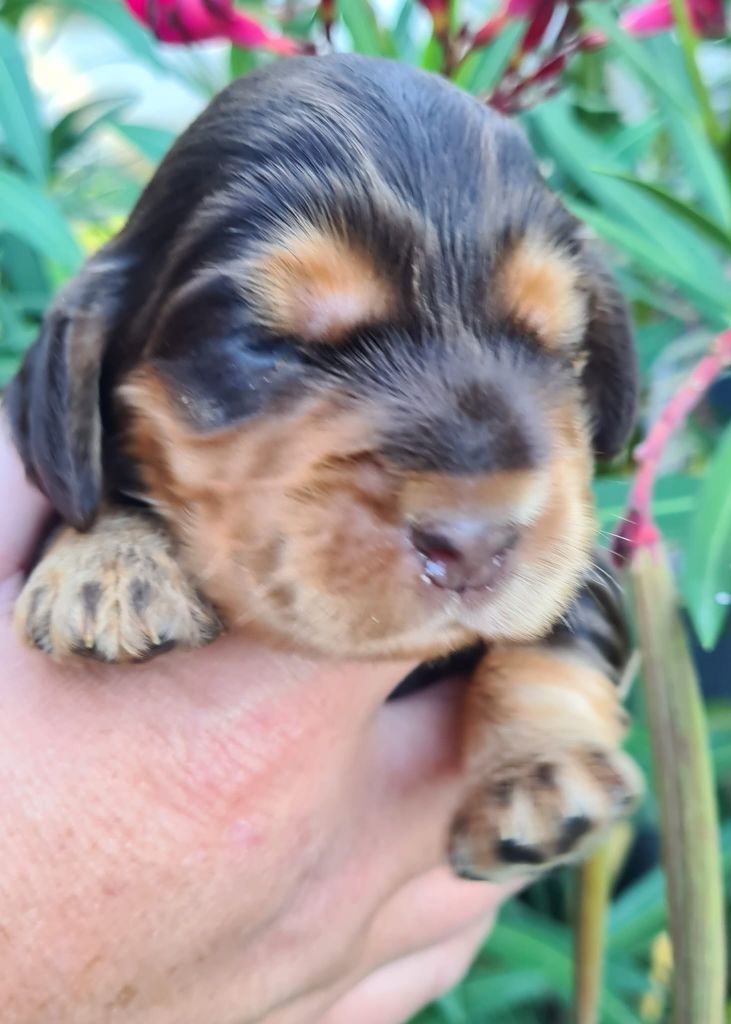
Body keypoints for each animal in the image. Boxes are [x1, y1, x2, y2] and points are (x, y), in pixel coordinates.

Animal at [5, 54, 642, 880]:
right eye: (267, 344)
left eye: (553, 343)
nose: (473, 544)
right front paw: (105, 563)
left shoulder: (580, 561)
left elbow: (554, 634)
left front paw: (538, 771)